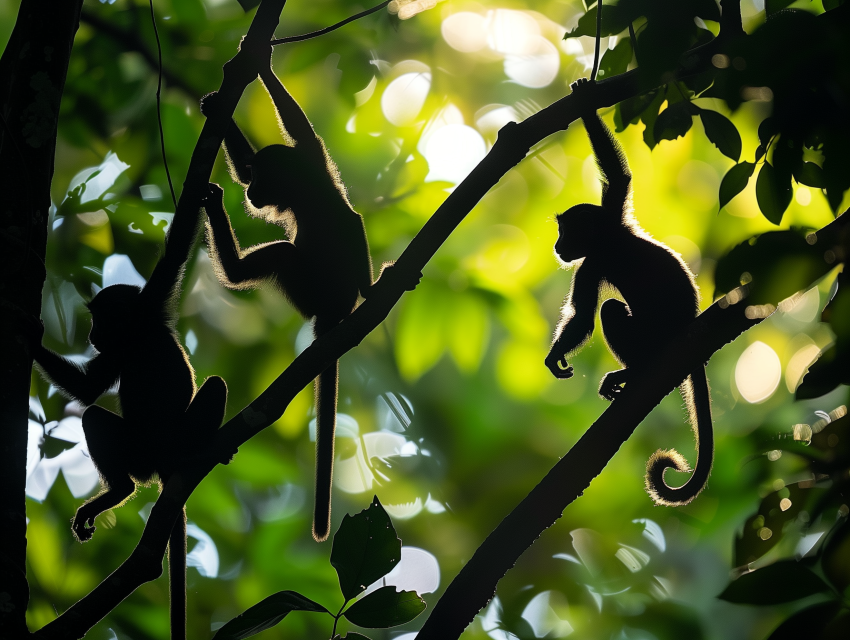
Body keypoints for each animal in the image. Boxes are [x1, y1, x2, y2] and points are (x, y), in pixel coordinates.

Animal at [28, 180, 230, 637]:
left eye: (99, 317)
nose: (91, 334)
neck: (136, 333)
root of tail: (163, 461)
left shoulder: (150, 305)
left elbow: (177, 248)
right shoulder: (124, 343)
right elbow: (88, 389)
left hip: (154, 447)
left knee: (214, 385)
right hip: (140, 452)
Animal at [200, 48, 419, 542]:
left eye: (261, 179)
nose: (250, 190)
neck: (303, 189)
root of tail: (330, 313)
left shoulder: (316, 169)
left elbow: (349, 216)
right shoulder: (313, 160)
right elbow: (298, 132)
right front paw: (219, 105)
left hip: (309, 290)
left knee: (286, 253)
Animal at [544, 78, 713, 507]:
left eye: (564, 232)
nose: (557, 245)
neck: (608, 239)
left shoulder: (590, 262)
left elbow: (585, 317)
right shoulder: (604, 234)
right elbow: (619, 178)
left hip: (650, 336)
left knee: (611, 311)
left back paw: (635, 370)